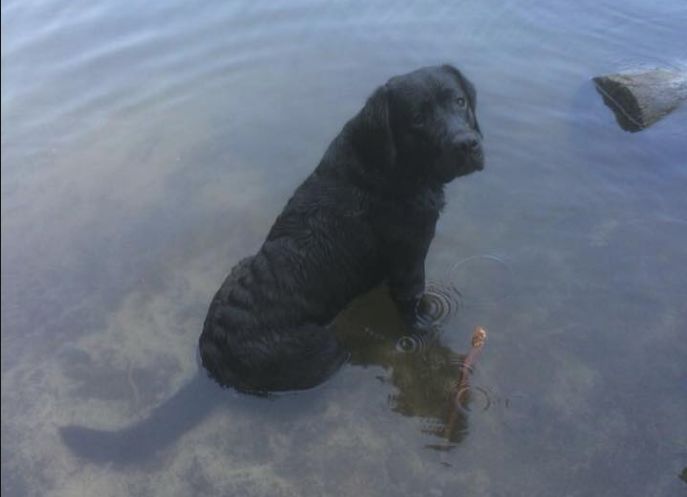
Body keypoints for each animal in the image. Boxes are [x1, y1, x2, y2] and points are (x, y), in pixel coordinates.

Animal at [200, 65, 484, 392]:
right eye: (417, 118)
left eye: (460, 101)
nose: (467, 143)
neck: (389, 168)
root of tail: (212, 357)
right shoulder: (410, 262)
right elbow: (413, 307)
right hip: (324, 350)